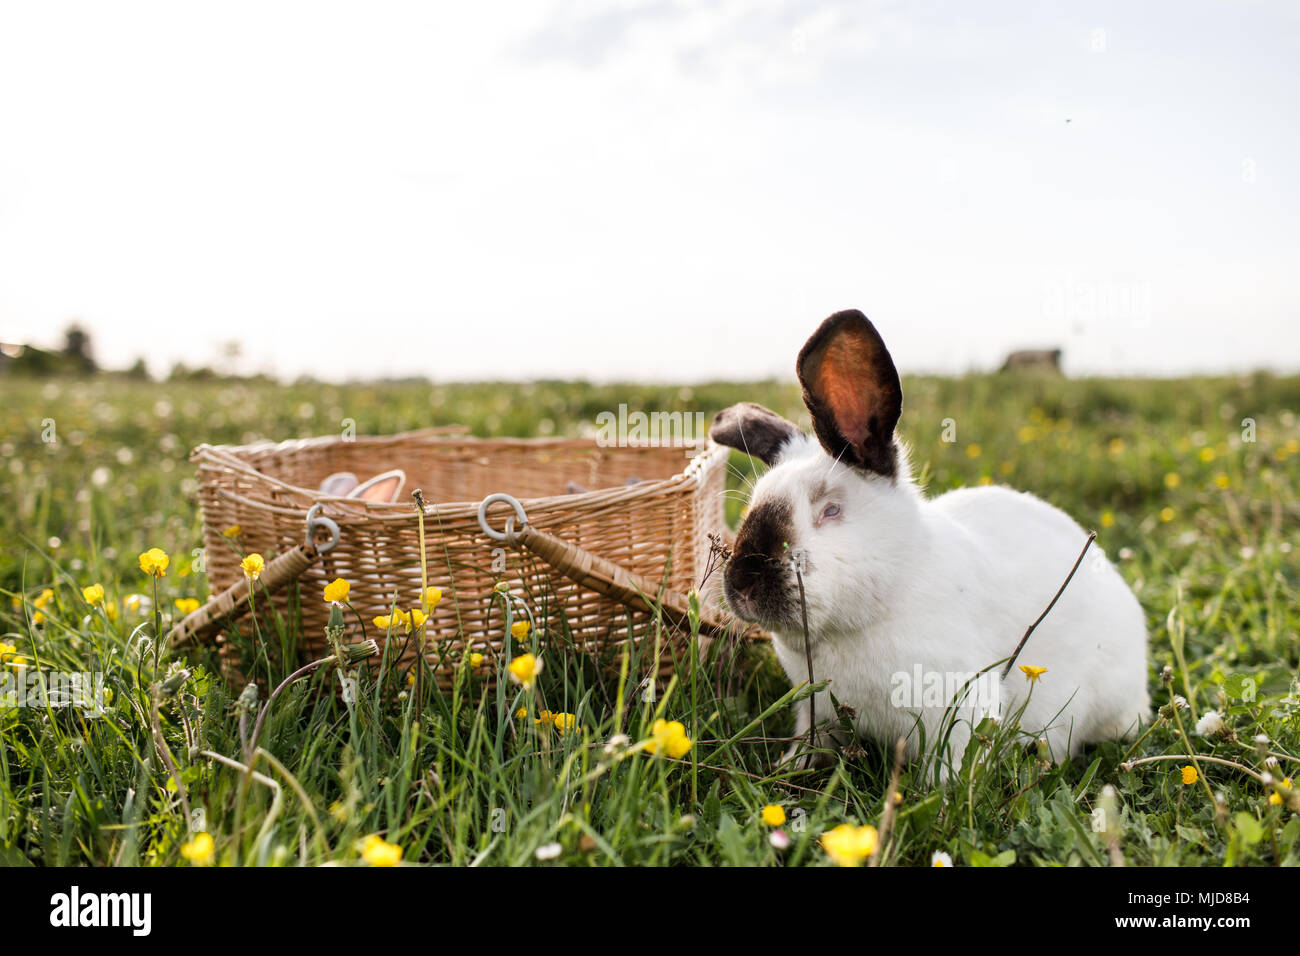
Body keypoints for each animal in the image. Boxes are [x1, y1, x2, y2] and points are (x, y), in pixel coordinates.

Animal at [712, 312, 1149, 780]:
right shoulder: (816, 711)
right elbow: (813, 739)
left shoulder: (958, 707)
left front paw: (934, 793)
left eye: (830, 510)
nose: (743, 584)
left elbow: (949, 765)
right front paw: (791, 766)